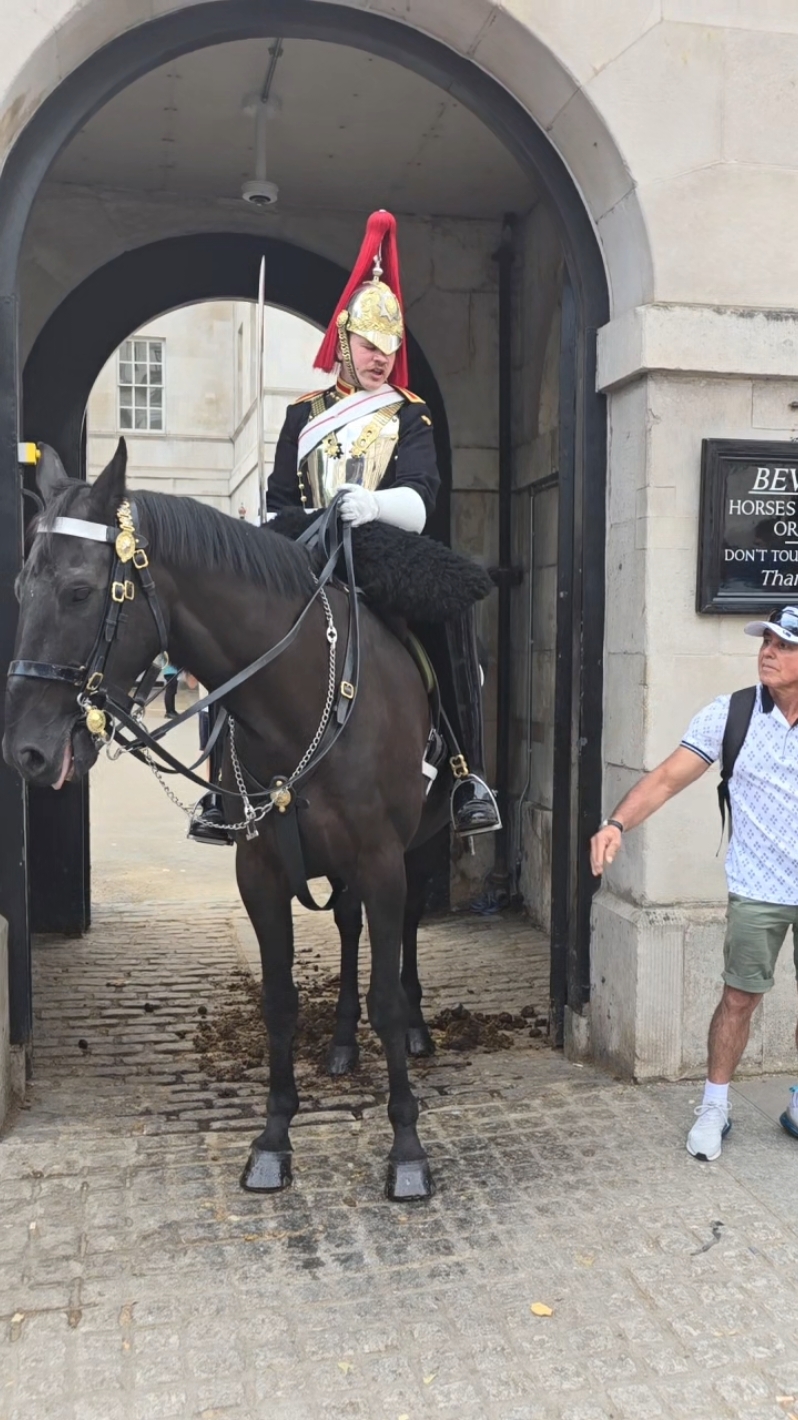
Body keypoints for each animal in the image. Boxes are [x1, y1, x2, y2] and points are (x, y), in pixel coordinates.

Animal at [4, 443, 448, 1198]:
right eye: (18, 587)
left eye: (79, 591)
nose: (27, 750)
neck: (301, 698)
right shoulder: (260, 870)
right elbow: (278, 1001)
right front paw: (273, 1139)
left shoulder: (383, 859)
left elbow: (387, 994)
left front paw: (408, 1149)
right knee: (348, 927)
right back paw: (341, 1043)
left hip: (419, 847)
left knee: (410, 928)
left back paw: (416, 1029)